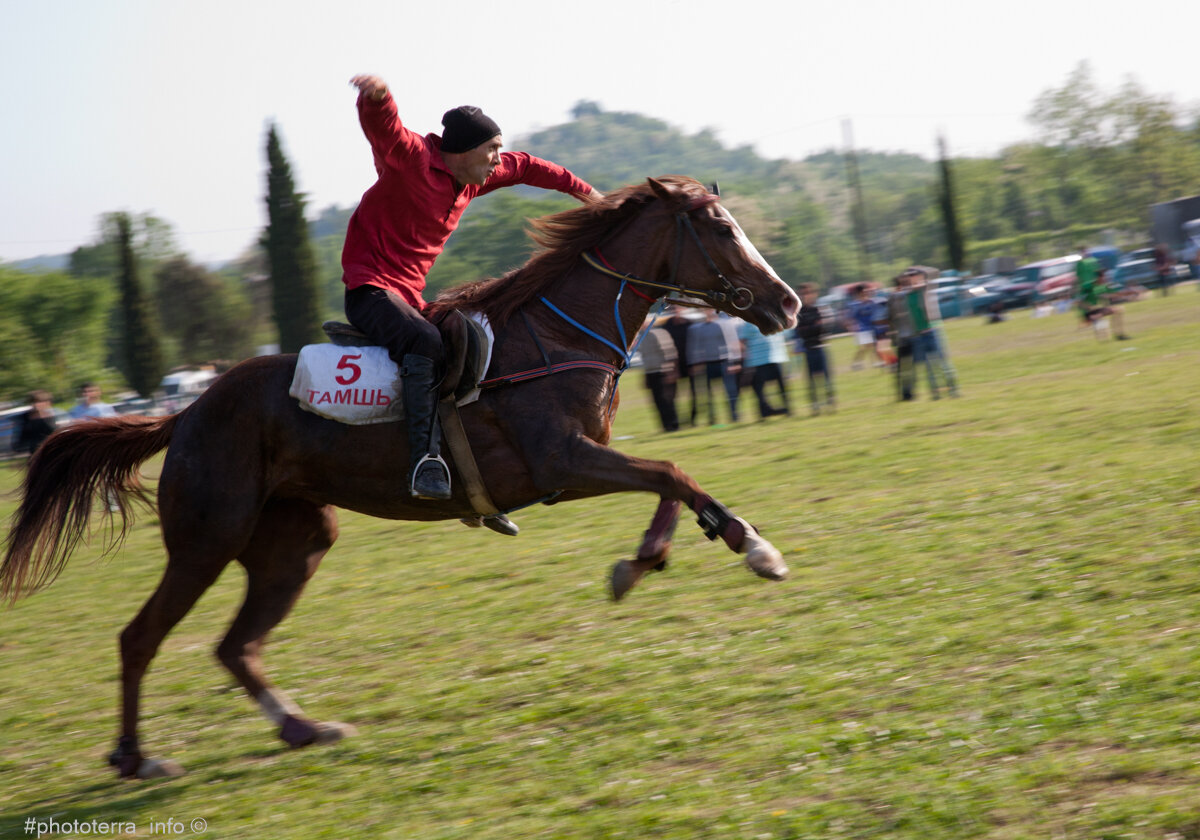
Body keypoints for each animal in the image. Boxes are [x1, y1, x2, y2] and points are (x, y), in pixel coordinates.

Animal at [7, 174, 806, 777]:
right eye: (722, 228)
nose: (789, 302)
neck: (557, 334)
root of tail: (187, 410)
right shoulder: (562, 460)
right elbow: (672, 469)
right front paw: (753, 548)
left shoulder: (579, 461)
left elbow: (669, 481)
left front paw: (650, 557)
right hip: (207, 540)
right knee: (139, 639)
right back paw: (137, 757)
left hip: (293, 543)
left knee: (236, 646)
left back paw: (301, 727)